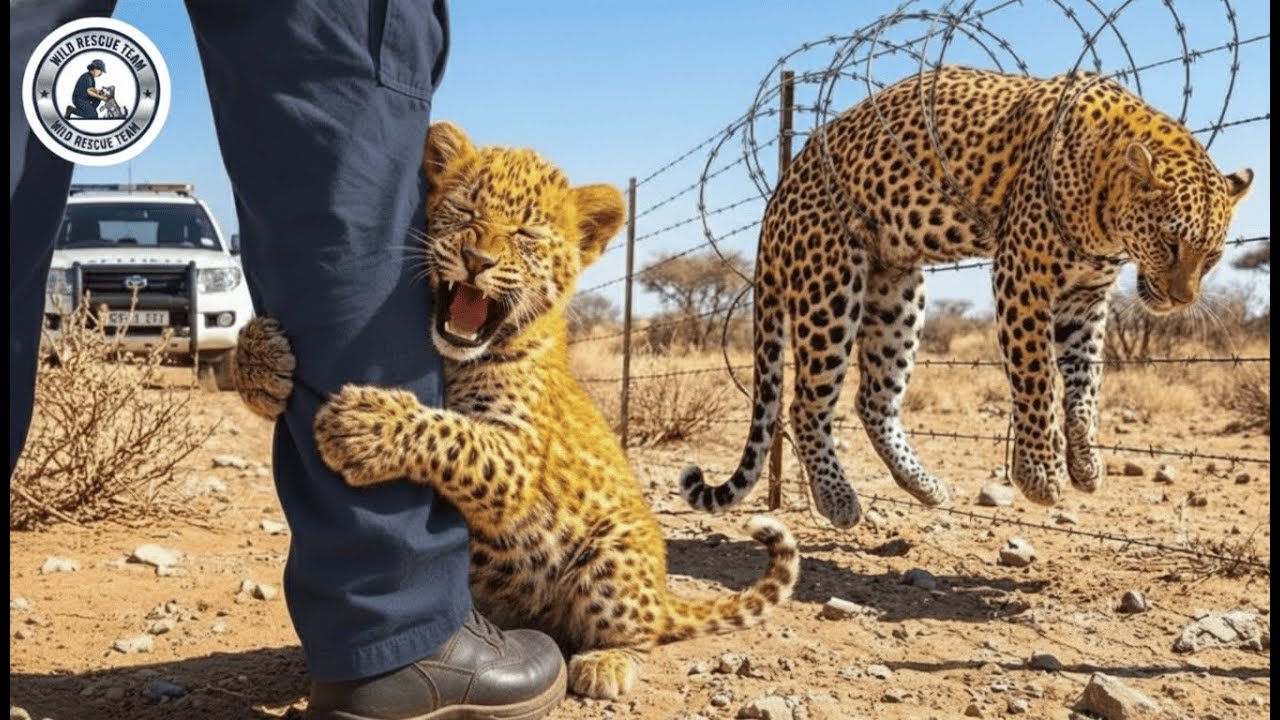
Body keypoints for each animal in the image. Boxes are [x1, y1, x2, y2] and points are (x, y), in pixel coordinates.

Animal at [231, 121, 799, 700]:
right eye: (465, 210)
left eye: (526, 234)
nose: (477, 261)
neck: (454, 358)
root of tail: (662, 599)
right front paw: (259, 356)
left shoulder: (519, 458)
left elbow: (454, 435)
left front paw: (365, 424)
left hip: (612, 556)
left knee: (641, 634)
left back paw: (607, 663)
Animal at [678, 65, 1253, 528]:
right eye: (1170, 242)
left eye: (1212, 255)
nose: (1180, 299)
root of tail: (779, 193)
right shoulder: (1023, 274)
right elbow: (1037, 377)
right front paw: (1039, 475)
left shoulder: (1086, 298)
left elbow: (1087, 383)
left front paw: (1086, 463)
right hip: (831, 289)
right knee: (806, 403)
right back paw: (838, 499)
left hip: (898, 294)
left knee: (873, 400)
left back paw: (925, 487)